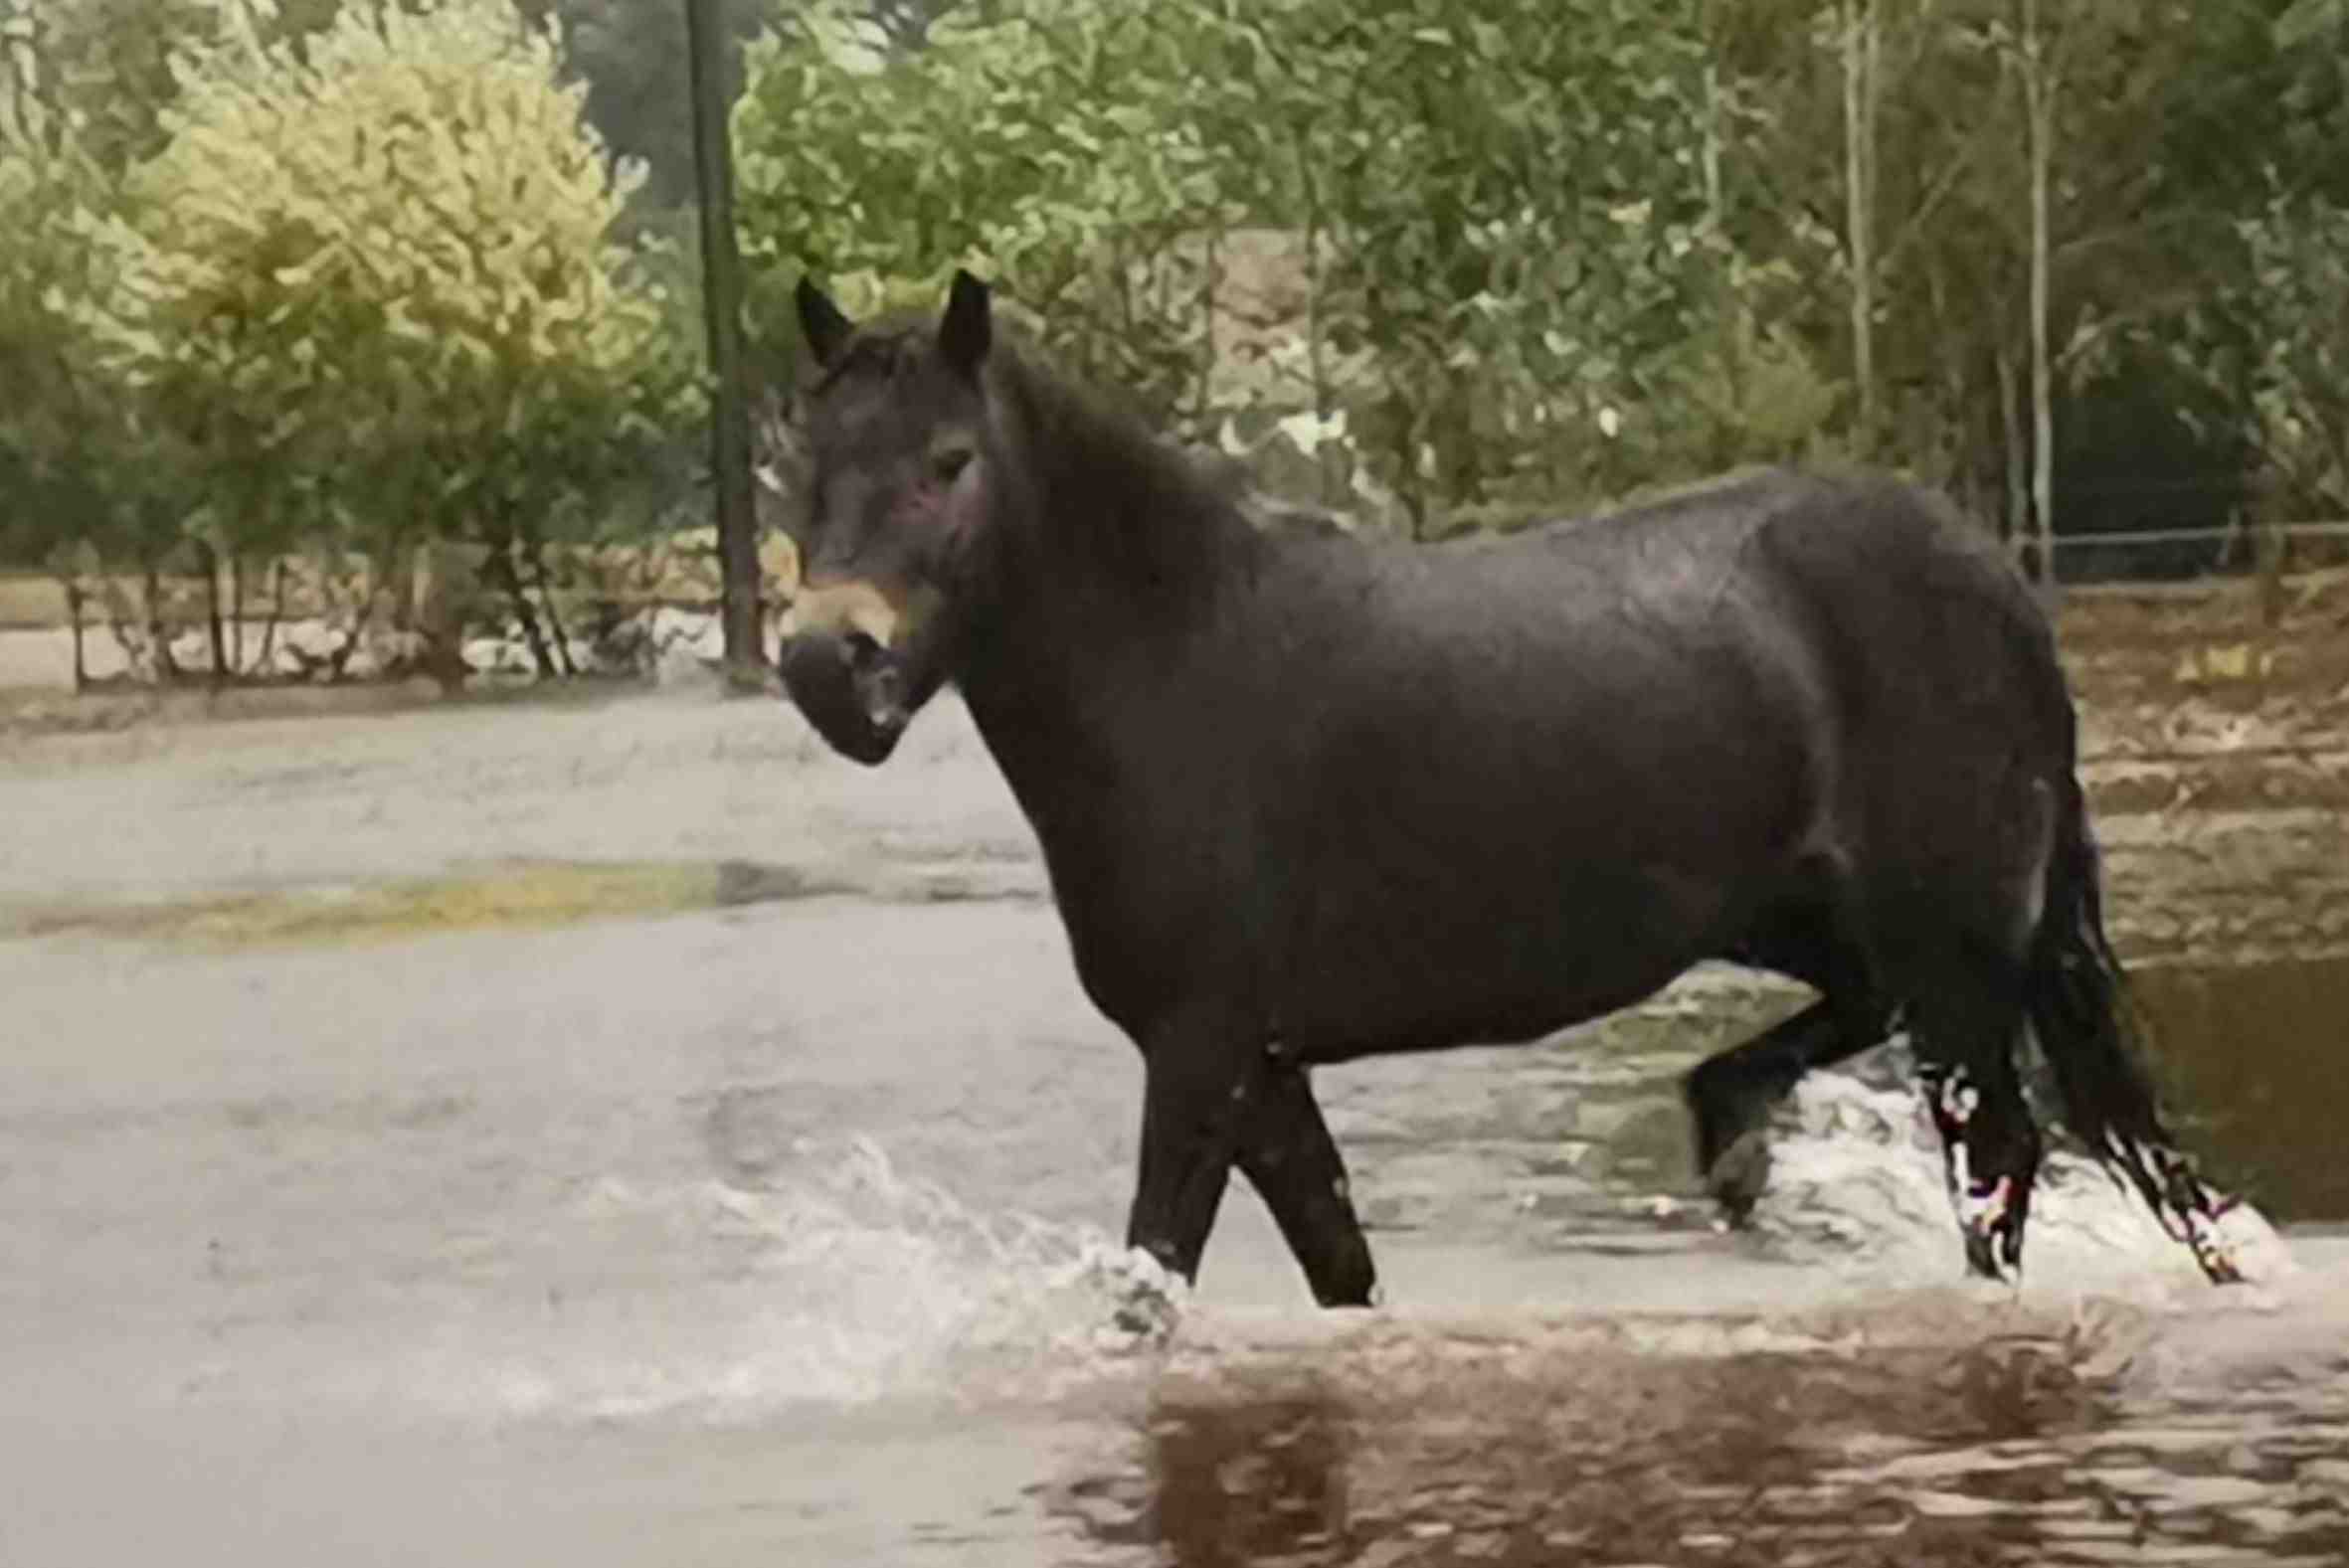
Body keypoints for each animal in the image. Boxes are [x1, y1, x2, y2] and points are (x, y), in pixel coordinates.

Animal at [766, 271, 2236, 1314]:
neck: (1178, 659)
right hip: (1819, 925)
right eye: (801, 469)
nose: (827, 666)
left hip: (1953, 956)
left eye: (948, 462)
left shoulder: (1198, 1053)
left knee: (1996, 1161)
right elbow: (1340, 1273)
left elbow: (1150, 1288)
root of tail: (1997, 579)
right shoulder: (1261, 1069)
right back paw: (1731, 1137)